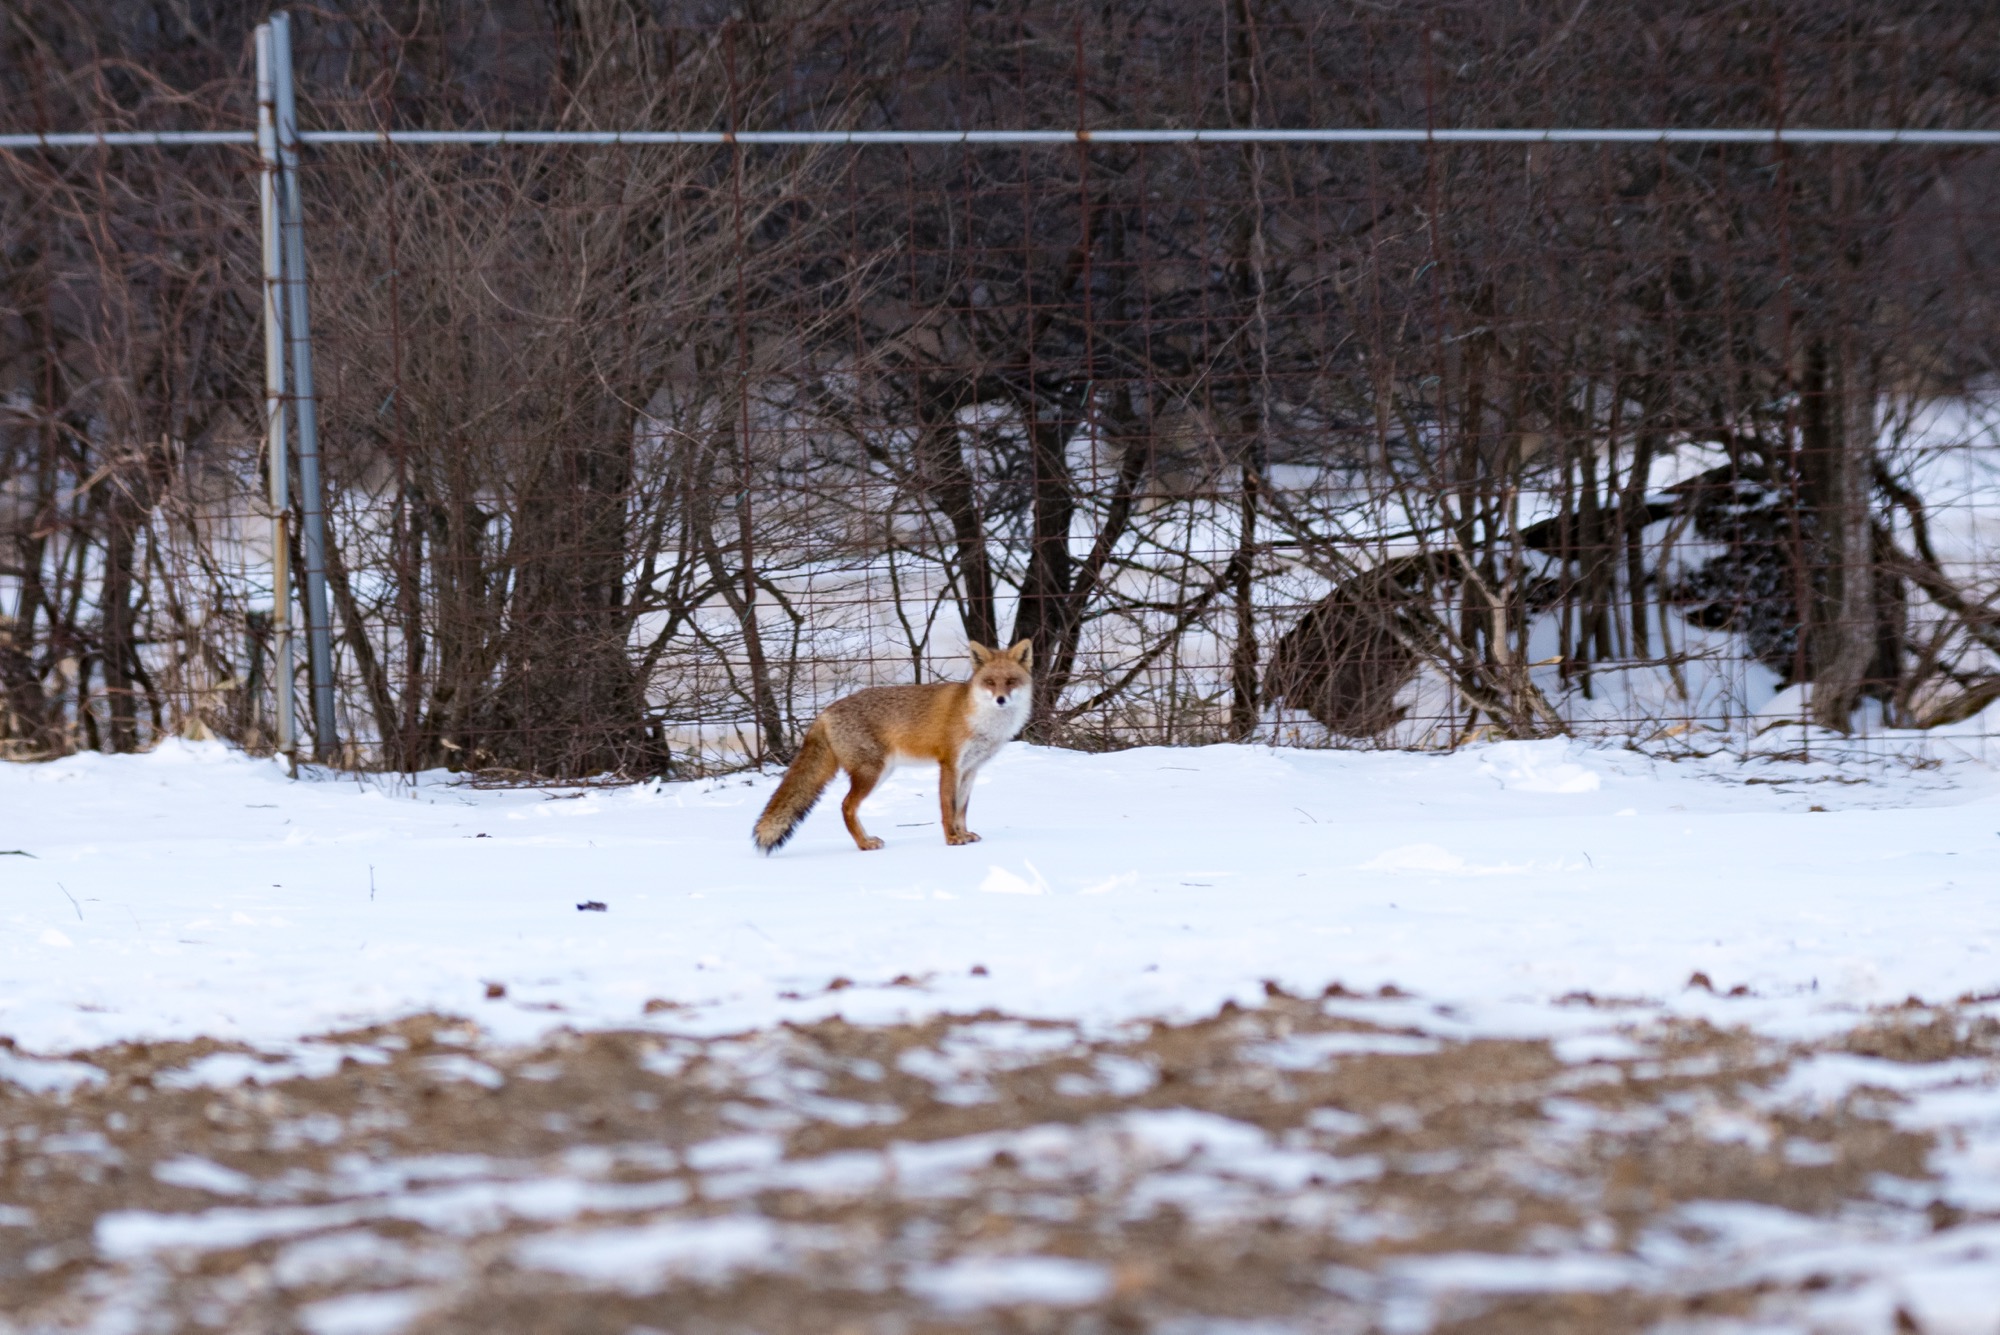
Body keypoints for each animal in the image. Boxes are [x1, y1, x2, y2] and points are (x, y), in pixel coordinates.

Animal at [752, 639, 1032, 855]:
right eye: (990, 682)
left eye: (1010, 681)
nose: (1000, 699)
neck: (979, 718)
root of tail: (824, 712)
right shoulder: (949, 764)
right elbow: (947, 808)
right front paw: (952, 839)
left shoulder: (971, 769)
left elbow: (960, 809)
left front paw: (964, 834)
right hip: (873, 772)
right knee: (846, 806)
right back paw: (864, 844)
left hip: (880, 772)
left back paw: (865, 841)